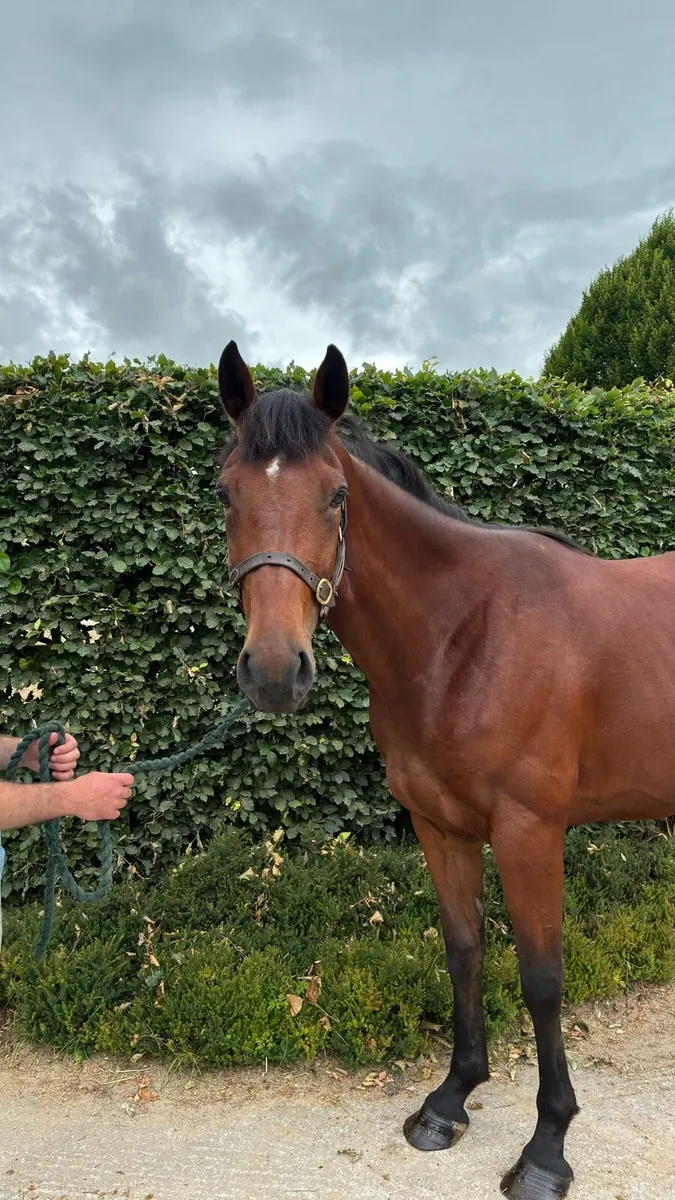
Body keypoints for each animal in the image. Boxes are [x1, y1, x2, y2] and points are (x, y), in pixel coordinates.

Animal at [215, 340, 675, 1200]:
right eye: (225, 493)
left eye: (335, 496)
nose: (273, 672)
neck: (465, 632)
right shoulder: (440, 826)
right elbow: (463, 950)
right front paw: (450, 1099)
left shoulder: (529, 833)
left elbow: (541, 977)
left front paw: (545, 1148)